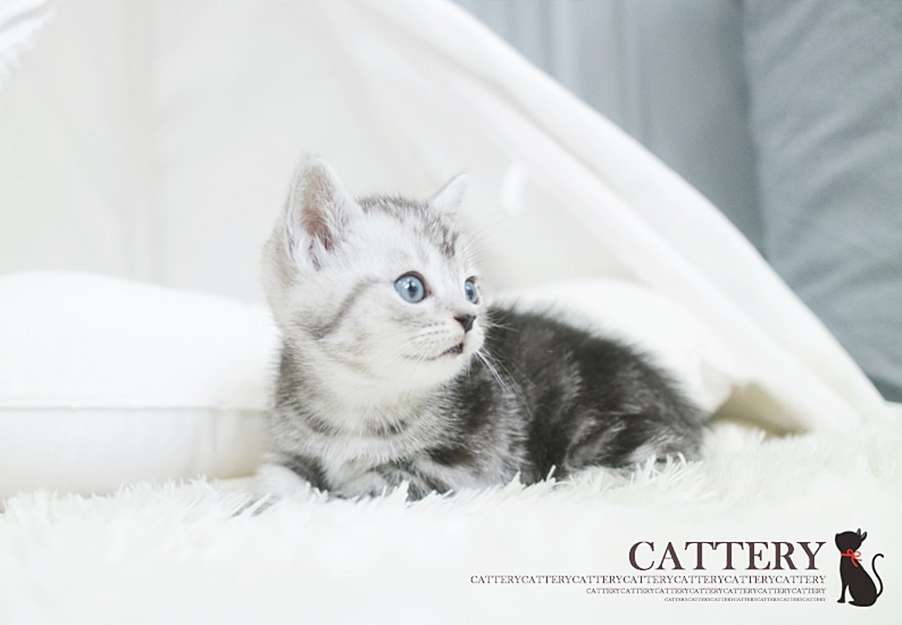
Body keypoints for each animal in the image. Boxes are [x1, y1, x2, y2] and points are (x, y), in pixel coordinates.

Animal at [256, 157, 705, 500]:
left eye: (470, 289)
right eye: (411, 287)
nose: (469, 317)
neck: (358, 401)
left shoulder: (469, 470)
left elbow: (367, 486)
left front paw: (324, 495)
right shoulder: (291, 445)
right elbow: (271, 473)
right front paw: (264, 500)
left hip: (597, 424)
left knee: (670, 460)